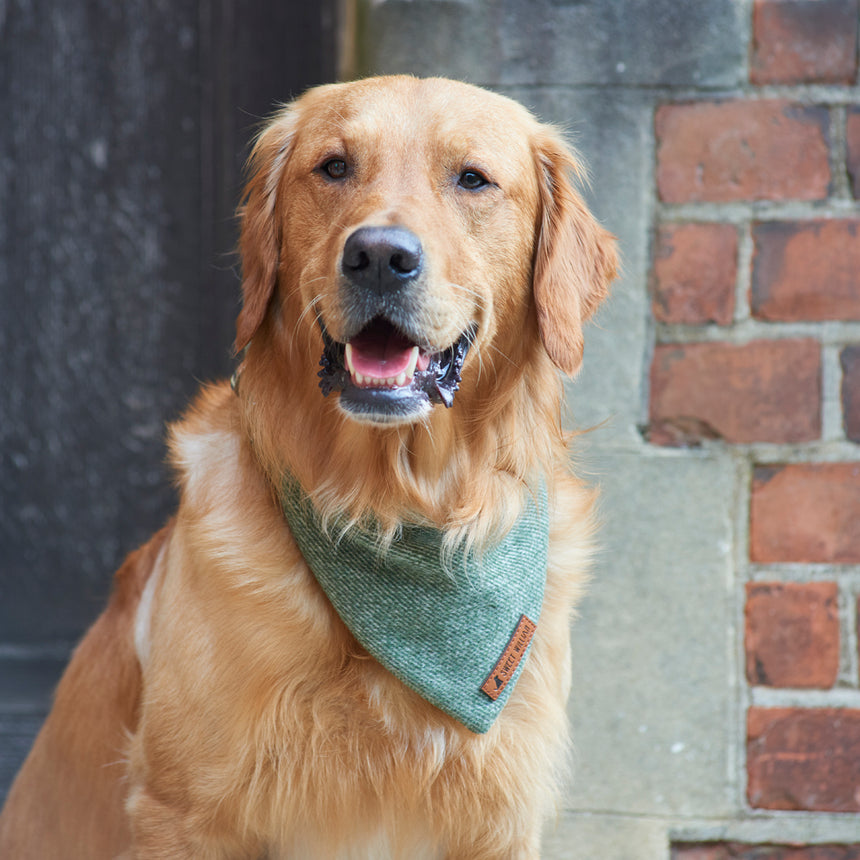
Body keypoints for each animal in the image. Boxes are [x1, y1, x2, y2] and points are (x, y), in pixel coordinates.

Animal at [1, 77, 620, 856]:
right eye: (333, 167)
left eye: (473, 179)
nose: (379, 256)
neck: (391, 513)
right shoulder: (182, 810)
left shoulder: (499, 820)